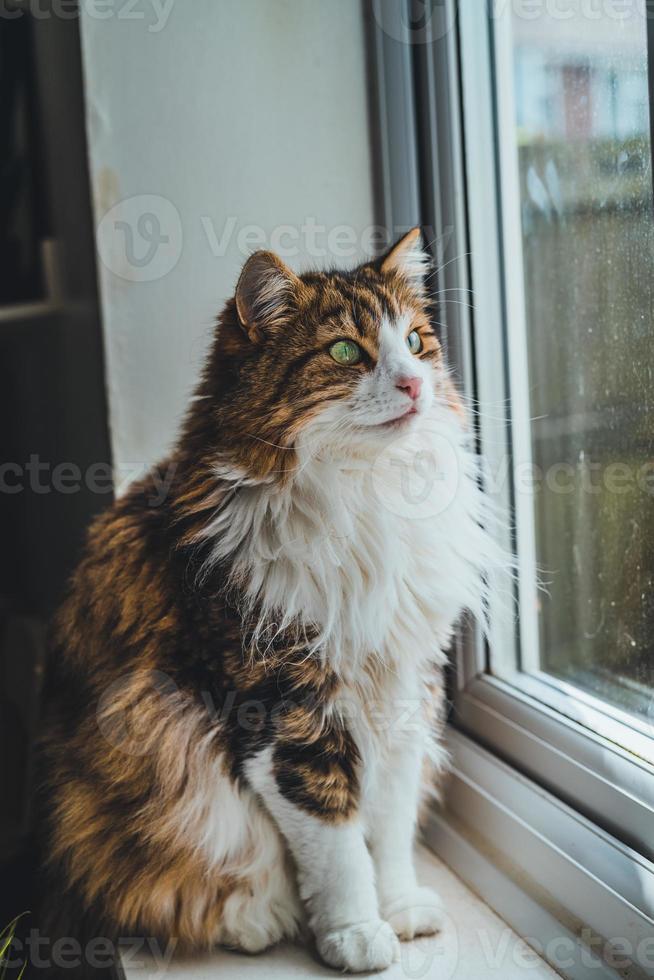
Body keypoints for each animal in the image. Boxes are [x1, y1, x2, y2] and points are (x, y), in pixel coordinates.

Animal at [30, 228, 500, 972]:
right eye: (346, 352)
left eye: (417, 342)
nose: (414, 383)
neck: (365, 497)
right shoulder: (288, 715)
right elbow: (338, 846)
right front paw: (355, 936)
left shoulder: (403, 695)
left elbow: (389, 827)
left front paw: (397, 910)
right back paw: (257, 919)